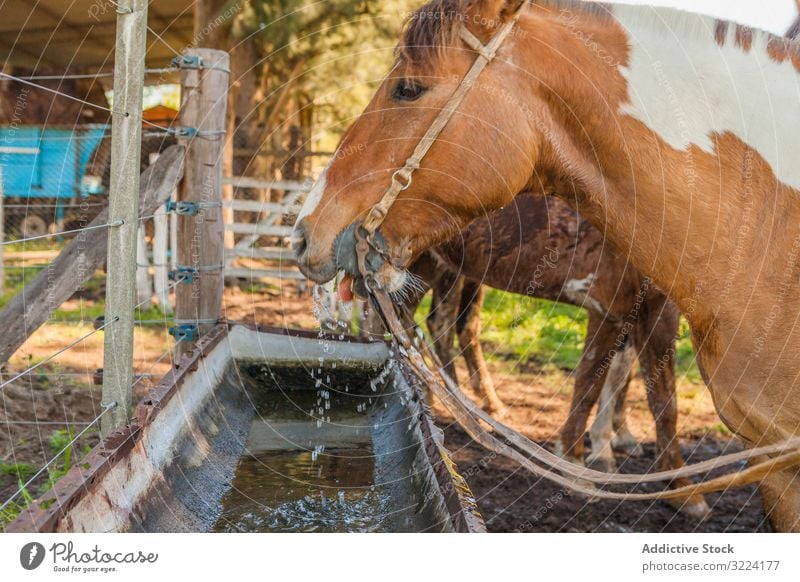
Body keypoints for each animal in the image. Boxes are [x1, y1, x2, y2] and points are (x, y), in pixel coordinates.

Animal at [296, 0, 800, 532]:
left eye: (408, 88)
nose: (306, 230)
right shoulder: (622, 307)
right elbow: (620, 386)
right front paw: (607, 462)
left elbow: (631, 386)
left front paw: (614, 454)